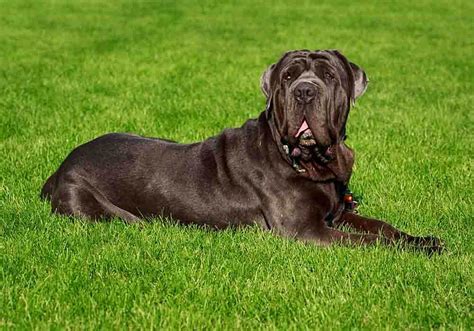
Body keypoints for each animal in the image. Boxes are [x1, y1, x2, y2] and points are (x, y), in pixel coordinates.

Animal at [40, 50, 444, 254]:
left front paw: (423, 240)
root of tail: (61, 166)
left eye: (329, 76)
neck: (304, 160)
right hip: (99, 209)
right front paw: (418, 250)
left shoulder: (338, 213)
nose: (305, 91)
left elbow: (383, 228)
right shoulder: (306, 230)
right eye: (288, 76)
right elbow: (372, 242)